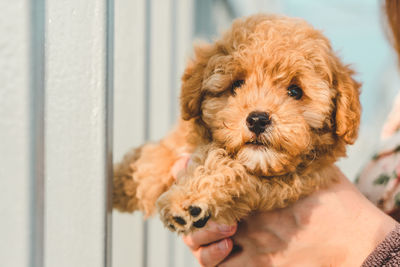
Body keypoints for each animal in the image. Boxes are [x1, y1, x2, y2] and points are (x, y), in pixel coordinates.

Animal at [111, 14, 360, 234]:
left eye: (295, 91)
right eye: (237, 84)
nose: (258, 120)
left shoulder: (289, 184)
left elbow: (225, 168)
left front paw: (187, 199)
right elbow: (154, 156)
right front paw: (119, 181)